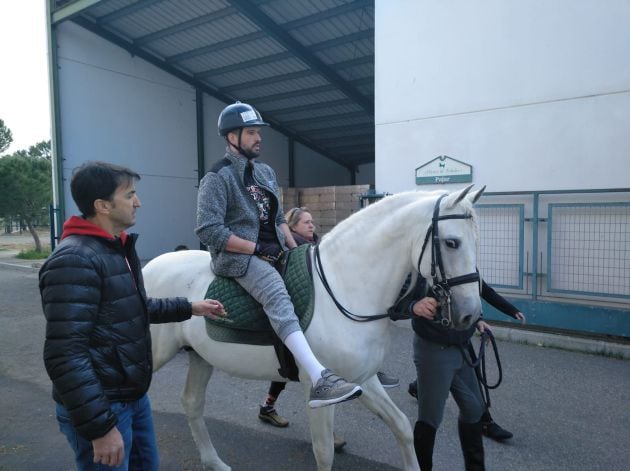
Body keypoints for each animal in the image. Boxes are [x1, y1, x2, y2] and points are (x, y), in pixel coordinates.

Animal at [146, 186, 486, 470]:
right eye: (452, 243)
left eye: (476, 240)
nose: (470, 314)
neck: (343, 286)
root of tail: (148, 267)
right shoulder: (320, 393)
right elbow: (324, 452)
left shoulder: (363, 380)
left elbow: (402, 426)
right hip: (156, 354)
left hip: (200, 357)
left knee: (191, 403)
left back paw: (214, 462)